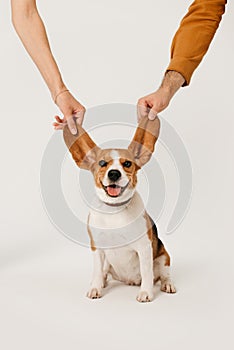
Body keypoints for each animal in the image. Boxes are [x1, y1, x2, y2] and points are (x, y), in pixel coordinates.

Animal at [63, 116, 175, 302]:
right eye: (102, 163)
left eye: (127, 163)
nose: (114, 173)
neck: (114, 210)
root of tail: (129, 280)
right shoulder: (97, 248)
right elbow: (96, 271)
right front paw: (95, 287)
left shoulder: (144, 248)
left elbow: (147, 273)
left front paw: (146, 292)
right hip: (108, 263)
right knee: (103, 273)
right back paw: (102, 282)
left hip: (163, 257)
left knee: (163, 275)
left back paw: (167, 284)